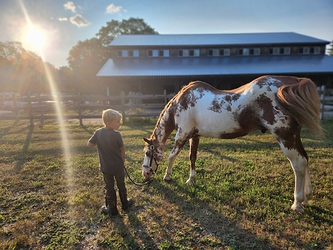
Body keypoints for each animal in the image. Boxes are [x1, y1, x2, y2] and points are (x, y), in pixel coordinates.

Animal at [141, 75, 322, 212]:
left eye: (148, 153)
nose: (145, 174)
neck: (182, 101)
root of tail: (293, 81)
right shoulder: (194, 135)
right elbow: (192, 157)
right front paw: (191, 179)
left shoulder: (182, 134)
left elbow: (172, 155)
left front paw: (167, 176)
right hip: (294, 137)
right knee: (305, 159)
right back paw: (307, 197)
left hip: (285, 137)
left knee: (298, 164)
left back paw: (297, 203)